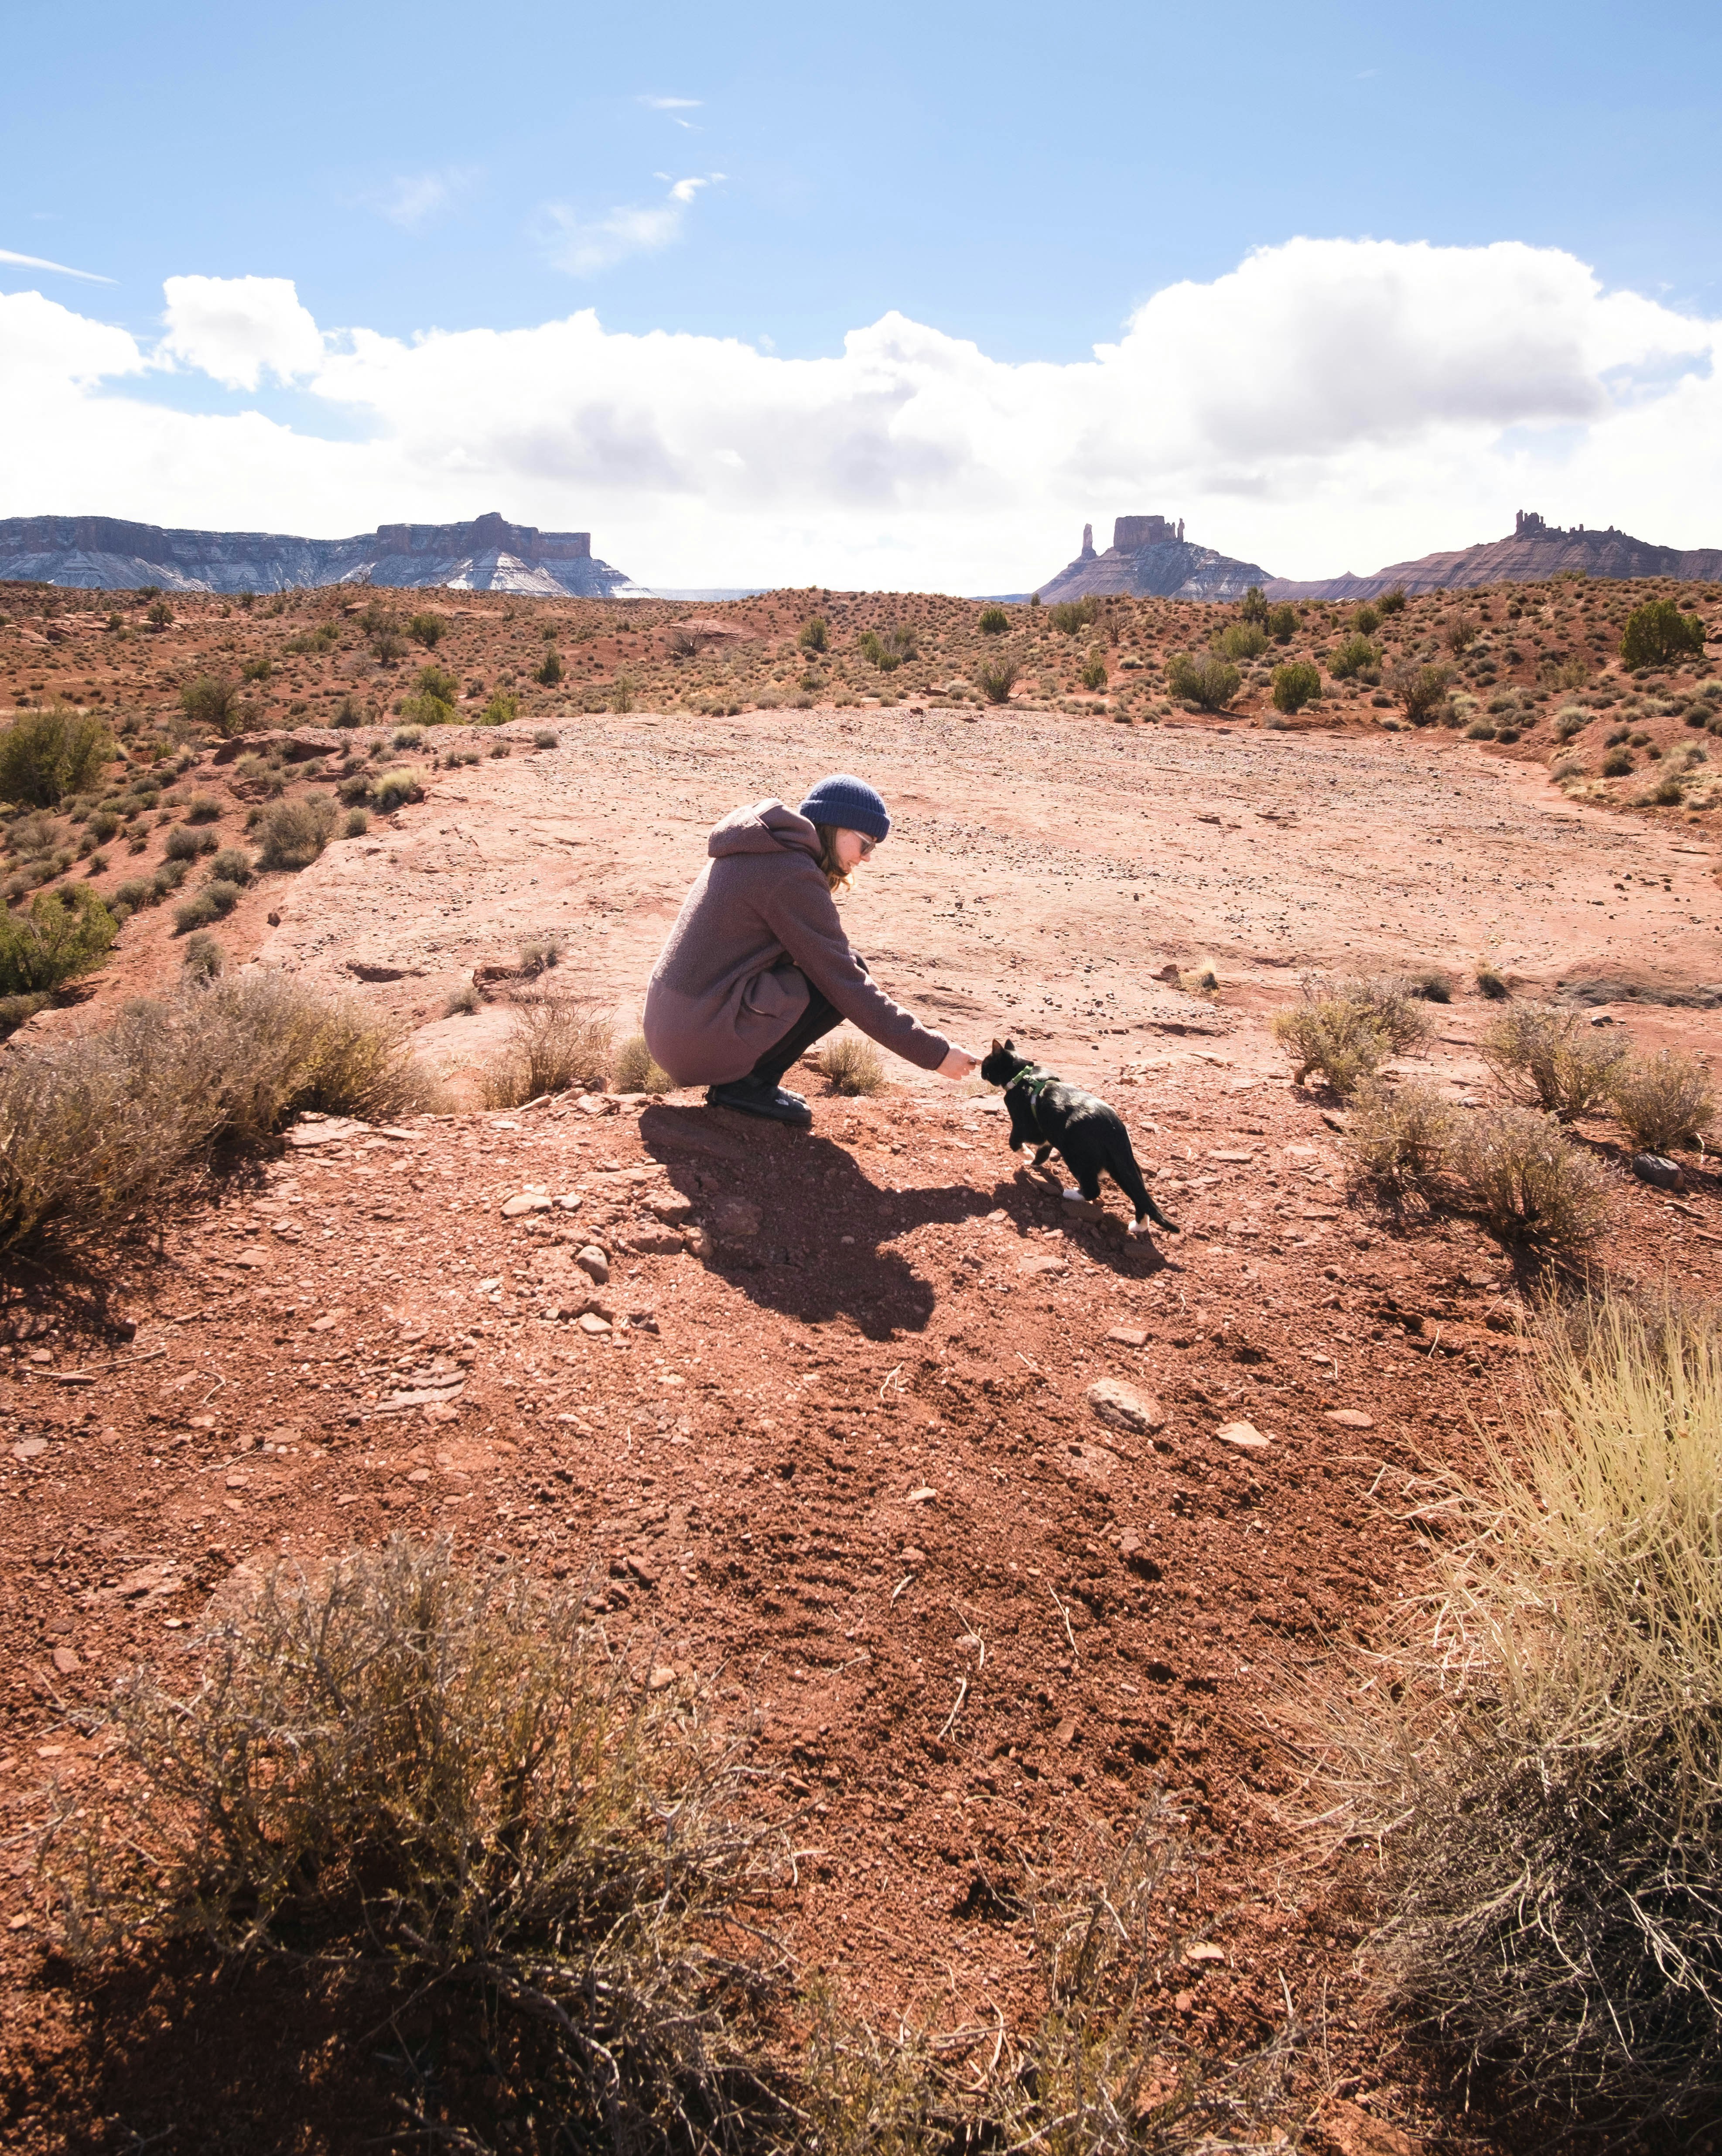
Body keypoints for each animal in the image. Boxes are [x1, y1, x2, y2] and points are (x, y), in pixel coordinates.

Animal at [978, 1039, 1181, 1242]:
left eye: (986, 1064)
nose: (980, 1072)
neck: (1022, 1075)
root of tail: (1114, 1130)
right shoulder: (1049, 1130)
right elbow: (1043, 1151)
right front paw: (1033, 1163)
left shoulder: (1025, 1125)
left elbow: (1015, 1142)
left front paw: (1026, 1155)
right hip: (1120, 1164)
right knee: (1138, 1193)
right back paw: (1139, 1226)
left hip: (1075, 1154)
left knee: (1094, 1189)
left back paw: (1072, 1194)